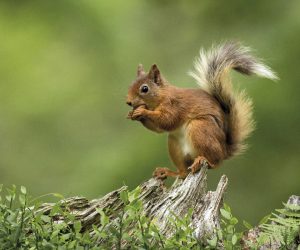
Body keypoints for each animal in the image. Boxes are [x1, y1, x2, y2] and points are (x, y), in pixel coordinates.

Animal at [125, 42, 278, 180]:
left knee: (215, 162)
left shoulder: (174, 105)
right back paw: (167, 172)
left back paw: (204, 161)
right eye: (130, 85)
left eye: (145, 89)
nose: (128, 102)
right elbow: (158, 128)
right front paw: (133, 114)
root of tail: (224, 151)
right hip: (174, 144)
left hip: (200, 128)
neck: (161, 96)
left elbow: (167, 121)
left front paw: (142, 112)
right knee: (183, 173)